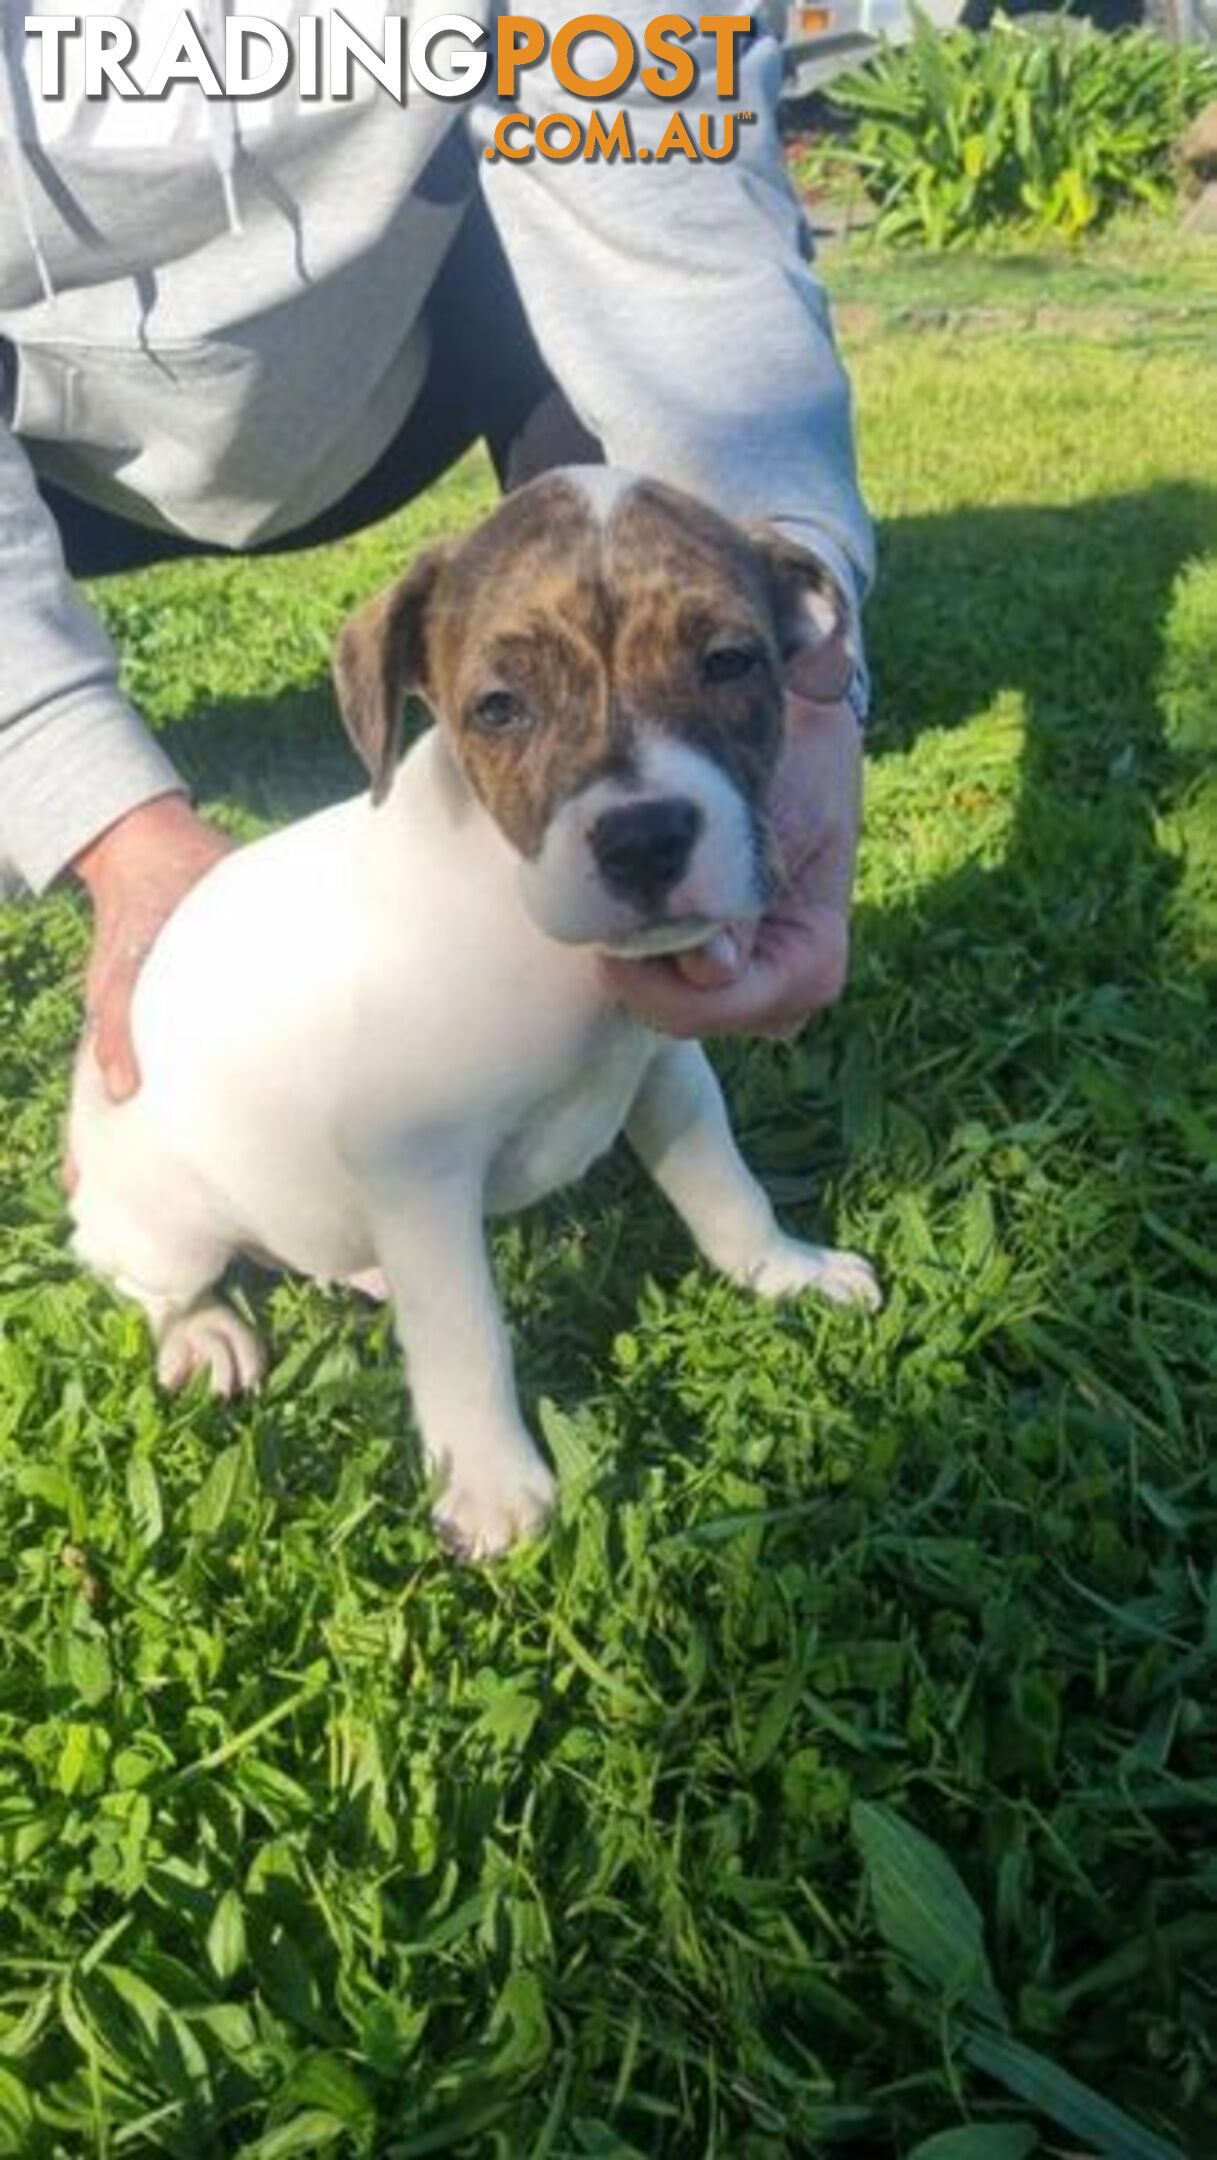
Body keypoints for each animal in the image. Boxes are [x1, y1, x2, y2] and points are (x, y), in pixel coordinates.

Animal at [66, 468, 881, 1555]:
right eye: (498, 708)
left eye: (728, 663)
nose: (644, 838)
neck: (528, 922)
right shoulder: (419, 1167)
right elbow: (464, 1331)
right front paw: (494, 1483)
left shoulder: (668, 1073)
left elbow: (725, 1190)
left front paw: (784, 1270)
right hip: (166, 1217)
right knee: (144, 1275)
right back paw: (205, 1332)